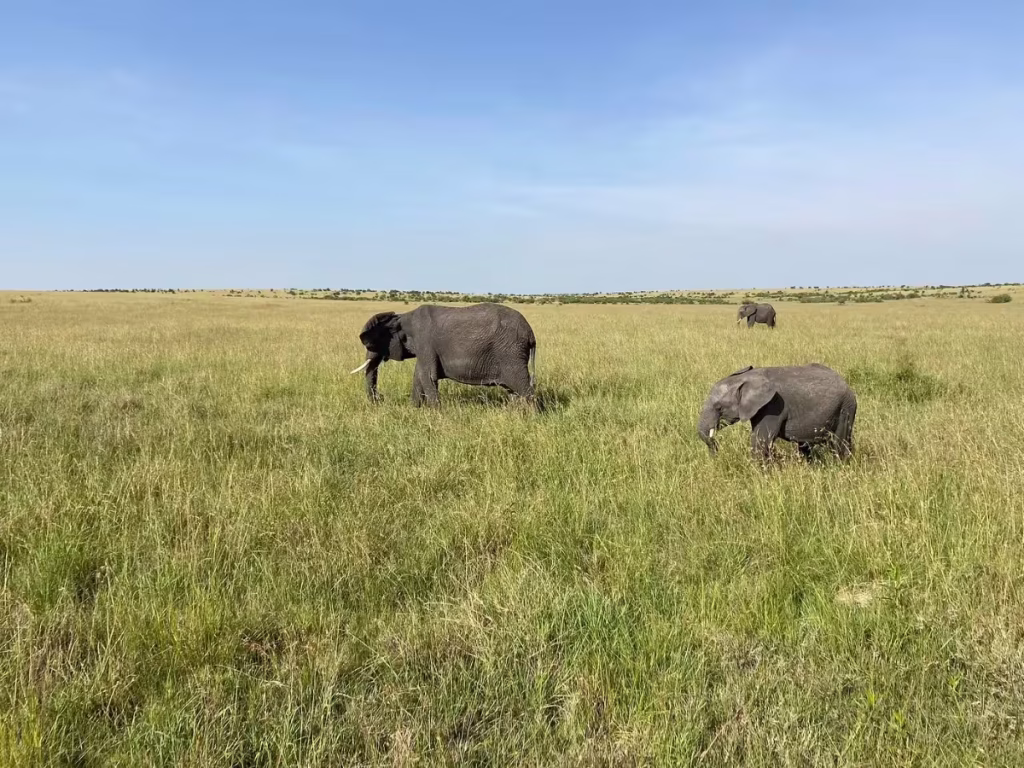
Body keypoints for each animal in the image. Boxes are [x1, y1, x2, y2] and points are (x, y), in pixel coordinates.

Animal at [351, 302, 538, 408]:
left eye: (370, 344)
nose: (380, 399)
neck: (402, 317)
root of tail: (530, 333)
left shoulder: (425, 341)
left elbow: (427, 376)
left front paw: (436, 414)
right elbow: (418, 376)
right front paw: (414, 410)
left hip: (510, 352)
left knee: (522, 387)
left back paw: (531, 417)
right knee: (514, 391)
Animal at [697, 364, 856, 462]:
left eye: (719, 407)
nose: (716, 452)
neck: (748, 377)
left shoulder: (774, 406)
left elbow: (760, 442)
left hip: (845, 409)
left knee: (839, 443)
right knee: (805, 446)